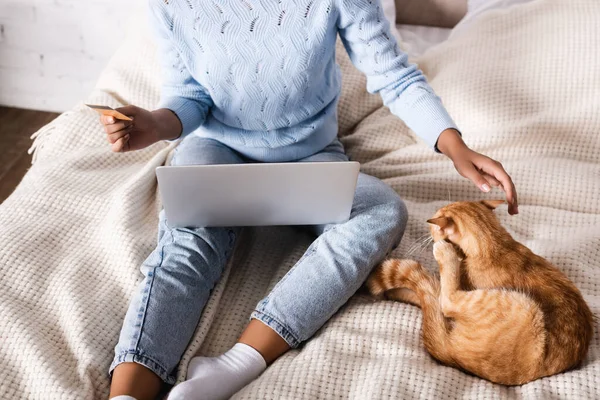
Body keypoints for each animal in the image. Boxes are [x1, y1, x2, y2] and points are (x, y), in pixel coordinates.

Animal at [368, 202, 592, 386]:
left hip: (521, 305)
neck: (495, 244)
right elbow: (431, 291)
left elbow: (439, 293)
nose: (430, 233)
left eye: (432, 226)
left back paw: (443, 254)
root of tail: (452, 353)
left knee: (446, 300)